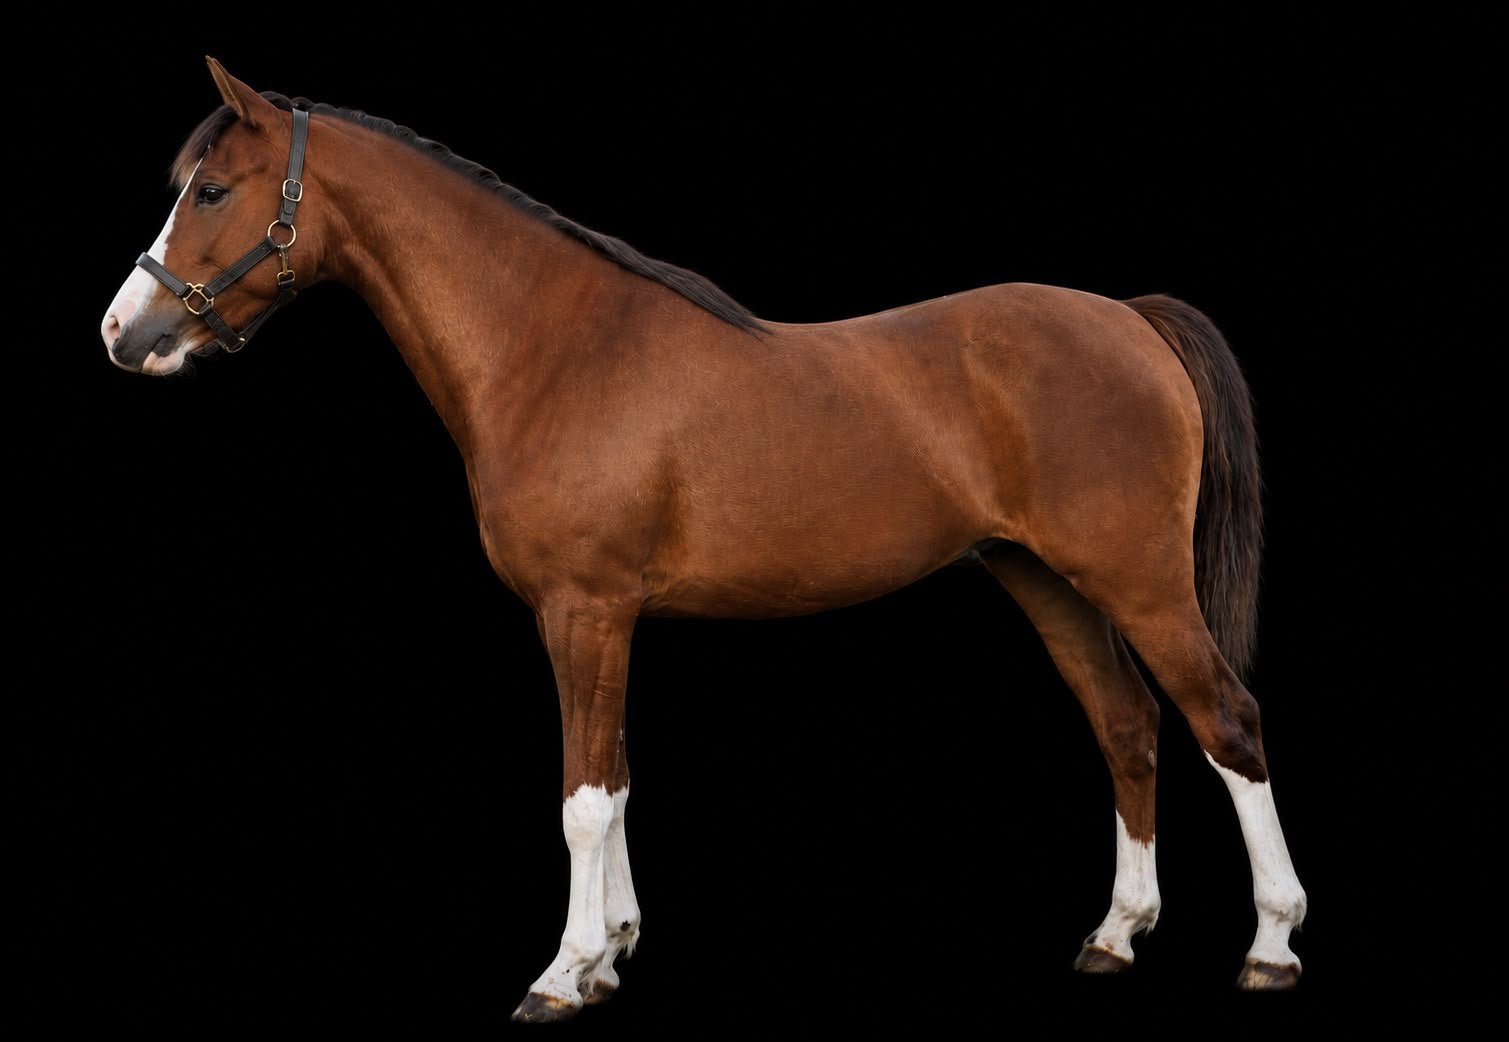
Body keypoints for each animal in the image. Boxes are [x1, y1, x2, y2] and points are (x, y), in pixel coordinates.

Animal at [100, 58, 1307, 1021]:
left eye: (212, 189)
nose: (122, 332)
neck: (553, 347)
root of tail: (1130, 316)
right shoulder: (606, 620)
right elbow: (618, 778)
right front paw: (610, 955)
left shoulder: (584, 611)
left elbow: (583, 800)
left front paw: (562, 974)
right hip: (1047, 582)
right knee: (1127, 726)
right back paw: (1114, 935)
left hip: (1139, 580)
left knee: (1227, 722)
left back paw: (1271, 946)